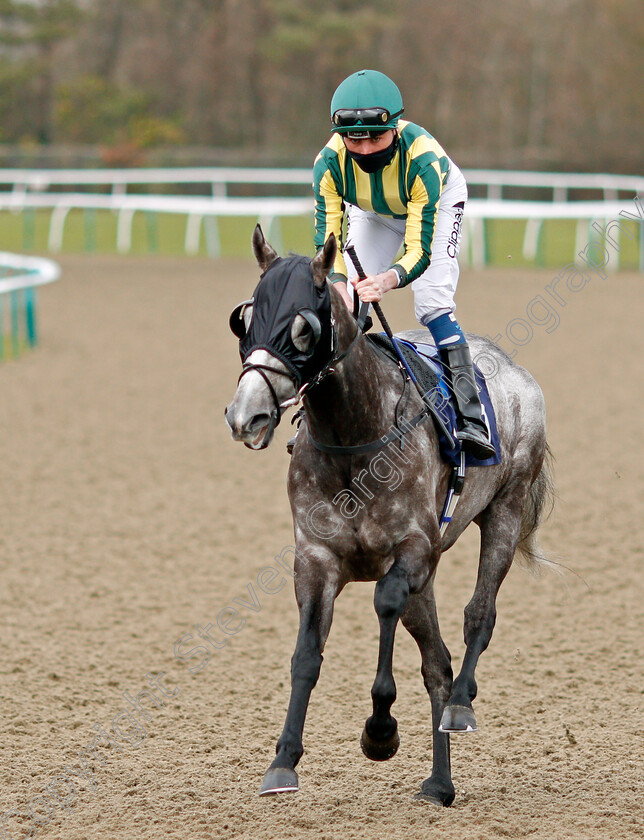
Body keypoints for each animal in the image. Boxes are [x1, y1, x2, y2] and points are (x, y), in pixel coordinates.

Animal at [224, 226, 552, 804]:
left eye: (303, 329)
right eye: (245, 320)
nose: (247, 416)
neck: (353, 438)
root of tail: (515, 372)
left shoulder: (413, 550)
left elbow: (384, 603)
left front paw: (380, 730)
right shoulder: (316, 559)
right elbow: (306, 654)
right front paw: (283, 761)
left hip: (506, 513)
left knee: (478, 618)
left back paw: (460, 706)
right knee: (437, 663)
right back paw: (439, 783)